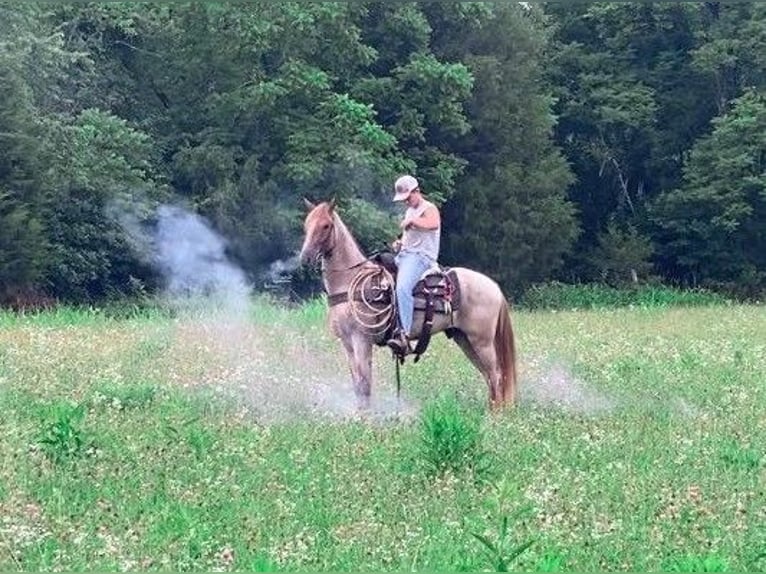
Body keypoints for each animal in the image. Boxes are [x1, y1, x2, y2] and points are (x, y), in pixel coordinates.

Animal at [296, 200, 520, 412]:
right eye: (306, 224)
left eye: (326, 225)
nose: (305, 257)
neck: (351, 280)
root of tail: (494, 287)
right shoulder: (347, 342)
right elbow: (357, 384)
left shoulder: (362, 340)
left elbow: (365, 383)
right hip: (464, 339)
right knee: (488, 375)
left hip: (482, 341)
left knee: (496, 375)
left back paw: (496, 416)